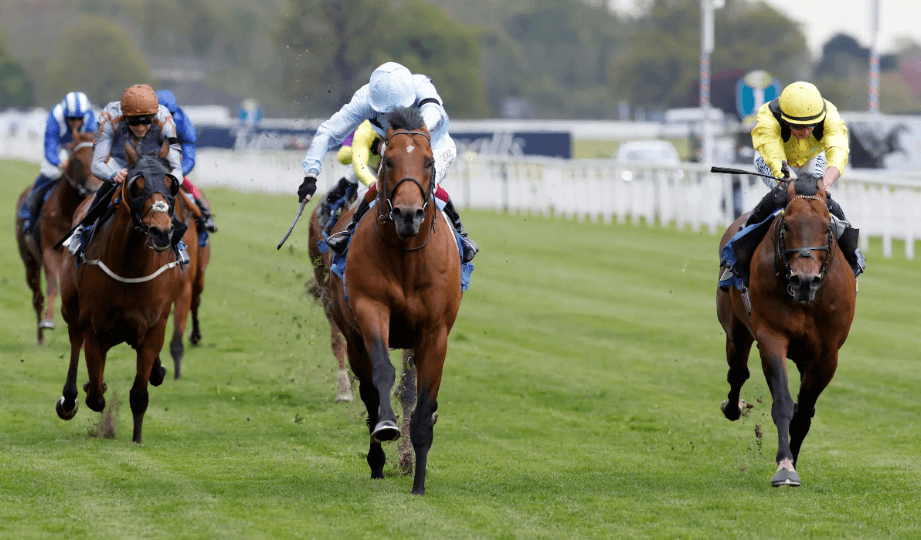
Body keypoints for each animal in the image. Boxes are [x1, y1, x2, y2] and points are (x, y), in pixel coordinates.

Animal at [15, 130, 100, 345]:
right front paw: (48, 321)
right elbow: (53, 283)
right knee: (37, 297)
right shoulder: (49, 250)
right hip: (29, 262)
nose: (93, 189)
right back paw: (40, 338)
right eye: (76, 160)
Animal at [56, 140, 186, 444]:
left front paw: (137, 440)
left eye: (171, 183)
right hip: (71, 308)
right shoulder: (95, 328)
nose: (161, 231)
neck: (130, 268)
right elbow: (95, 396)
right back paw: (69, 398)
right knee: (75, 340)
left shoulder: (153, 328)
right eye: (136, 184)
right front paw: (91, 388)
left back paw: (158, 370)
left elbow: (139, 394)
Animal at [312, 107, 462, 494]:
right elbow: (382, 374)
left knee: (407, 391)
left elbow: (422, 400)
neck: (407, 258)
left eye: (428, 162)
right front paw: (386, 429)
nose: (408, 214)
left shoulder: (434, 333)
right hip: (352, 334)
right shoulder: (370, 311)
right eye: (389, 160)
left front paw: (419, 480)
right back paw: (377, 459)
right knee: (368, 388)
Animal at [716, 174, 857, 487]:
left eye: (826, 227)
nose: (804, 280)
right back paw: (733, 407)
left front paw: (792, 458)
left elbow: (803, 414)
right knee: (737, 372)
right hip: (736, 330)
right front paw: (784, 466)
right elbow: (782, 400)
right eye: (787, 224)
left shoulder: (827, 355)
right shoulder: (771, 337)